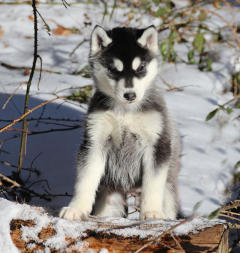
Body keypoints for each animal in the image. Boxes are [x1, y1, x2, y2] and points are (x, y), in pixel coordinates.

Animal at [60, 24, 180, 220]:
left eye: (141, 67)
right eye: (113, 69)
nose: (130, 95)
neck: (125, 112)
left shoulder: (157, 144)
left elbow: (153, 184)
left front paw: (152, 212)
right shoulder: (95, 140)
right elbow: (86, 179)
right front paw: (76, 208)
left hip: (168, 191)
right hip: (110, 197)